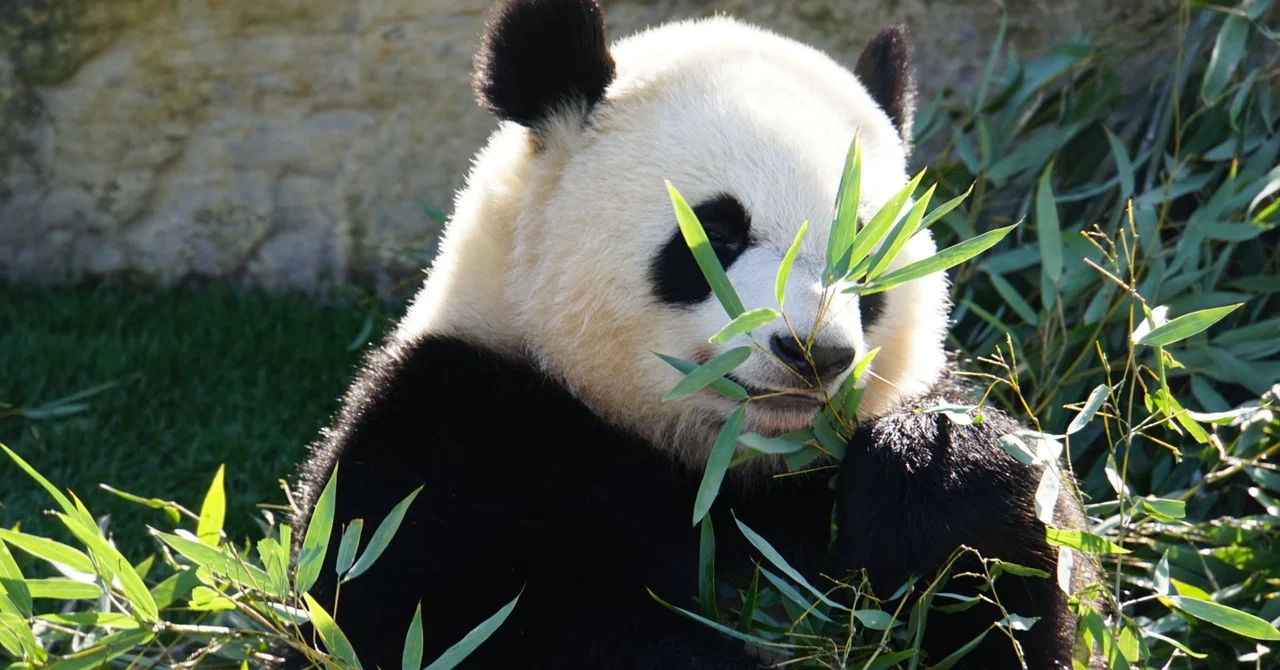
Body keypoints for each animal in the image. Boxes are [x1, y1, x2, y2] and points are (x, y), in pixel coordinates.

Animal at [286, 1, 1103, 668]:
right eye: (716, 234)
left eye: (864, 256)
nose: (814, 352)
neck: (724, 467)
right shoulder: (446, 437)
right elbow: (447, 615)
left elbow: (1024, 580)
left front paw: (939, 465)